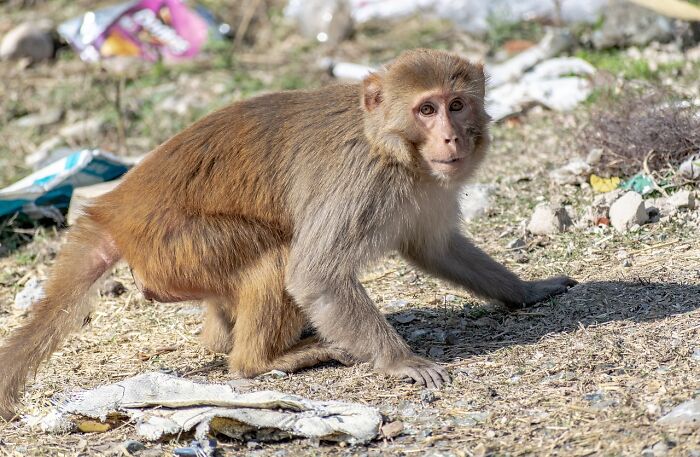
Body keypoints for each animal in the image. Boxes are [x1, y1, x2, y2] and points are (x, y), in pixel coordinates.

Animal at [0, 49, 576, 420]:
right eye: (426, 109)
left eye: (457, 104)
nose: (452, 138)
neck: (391, 147)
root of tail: (114, 210)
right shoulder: (362, 181)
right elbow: (315, 273)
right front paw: (401, 362)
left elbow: (435, 248)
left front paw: (526, 290)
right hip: (176, 246)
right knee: (274, 258)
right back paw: (262, 361)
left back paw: (229, 339)